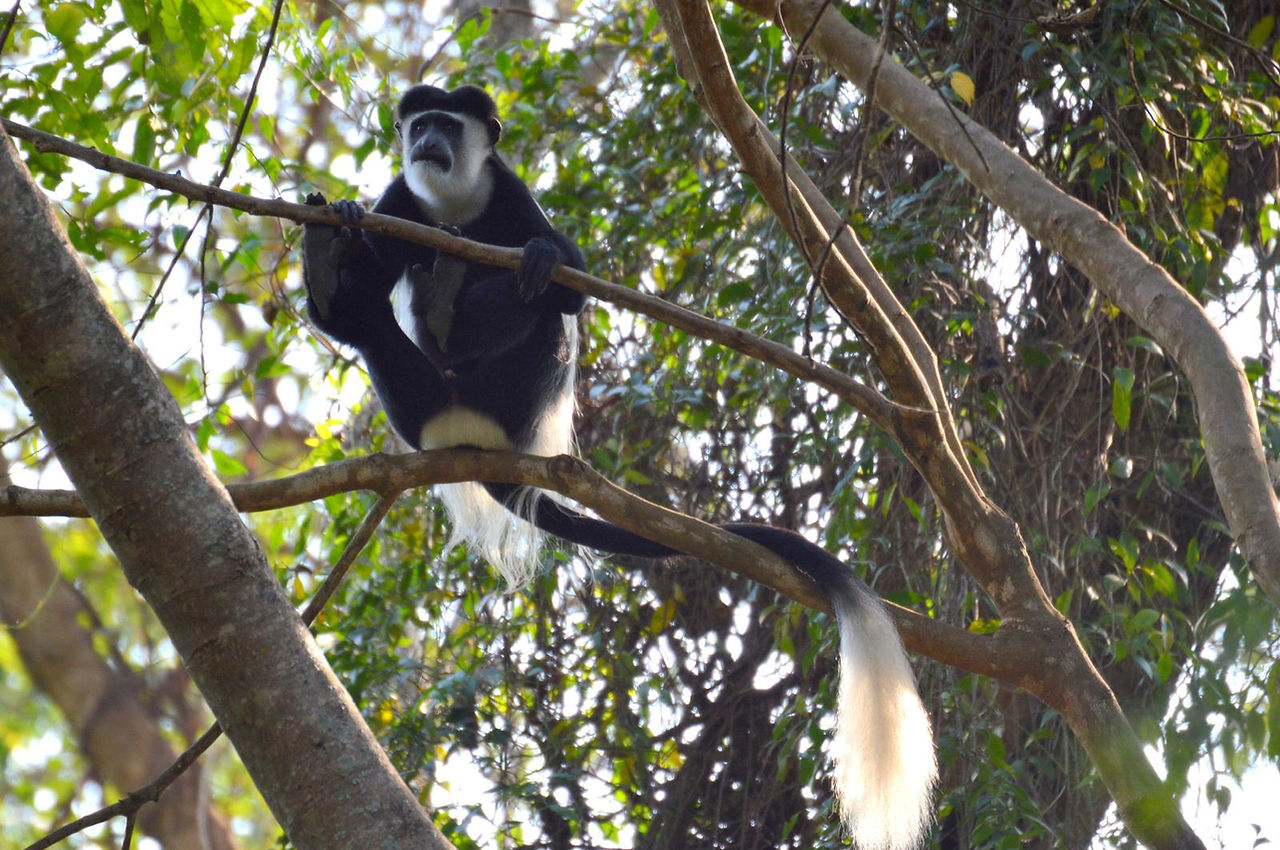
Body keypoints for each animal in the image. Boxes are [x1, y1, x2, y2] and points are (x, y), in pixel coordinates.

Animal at [301, 84, 936, 850]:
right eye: (420, 125)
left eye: (447, 126)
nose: (426, 140)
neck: (454, 206)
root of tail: (478, 438)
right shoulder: (401, 200)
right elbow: (372, 266)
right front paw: (342, 225)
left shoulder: (510, 192)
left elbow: (568, 281)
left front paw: (538, 257)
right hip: (418, 402)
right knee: (364, 324)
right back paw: (334, 268)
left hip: (511, 398)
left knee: (536, 312)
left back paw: (453, 296)